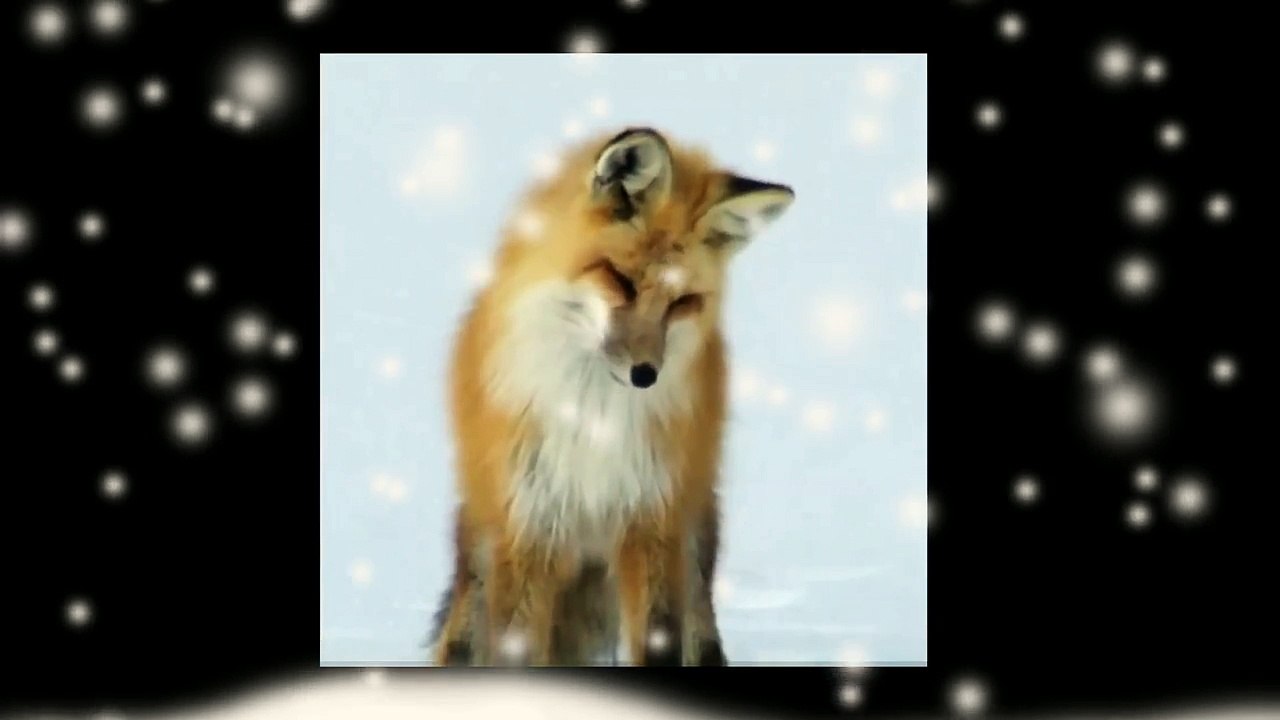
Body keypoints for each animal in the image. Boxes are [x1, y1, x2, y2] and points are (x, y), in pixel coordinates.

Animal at [431, 127, 794, 666]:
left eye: (682, 302)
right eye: (620, 280)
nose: (646, 375)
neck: (593, 418)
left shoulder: (651, 520)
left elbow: (660, 642)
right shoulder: (532, 524)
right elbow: (517, 649)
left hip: (693, 537)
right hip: (484, 546)